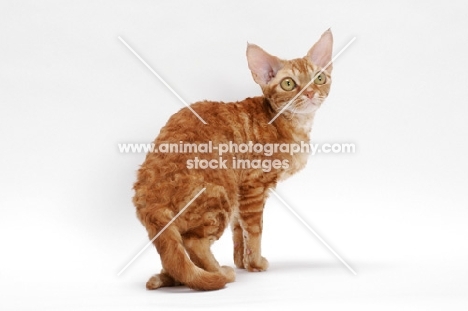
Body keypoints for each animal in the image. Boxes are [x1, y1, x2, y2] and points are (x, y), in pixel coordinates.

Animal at [133, 30, 332, 292]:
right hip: (220, 192)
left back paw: (169, 277)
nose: (309, 93)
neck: (292, 124)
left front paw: (242, 261)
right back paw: (218, 272)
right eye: (288, 83)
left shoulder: (241, 194)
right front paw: (255, 262)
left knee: (176, 255)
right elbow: (255, 230)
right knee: (193, 242)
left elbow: (239, 231)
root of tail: (148, 195)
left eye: (319, 78)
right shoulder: (253, 186)